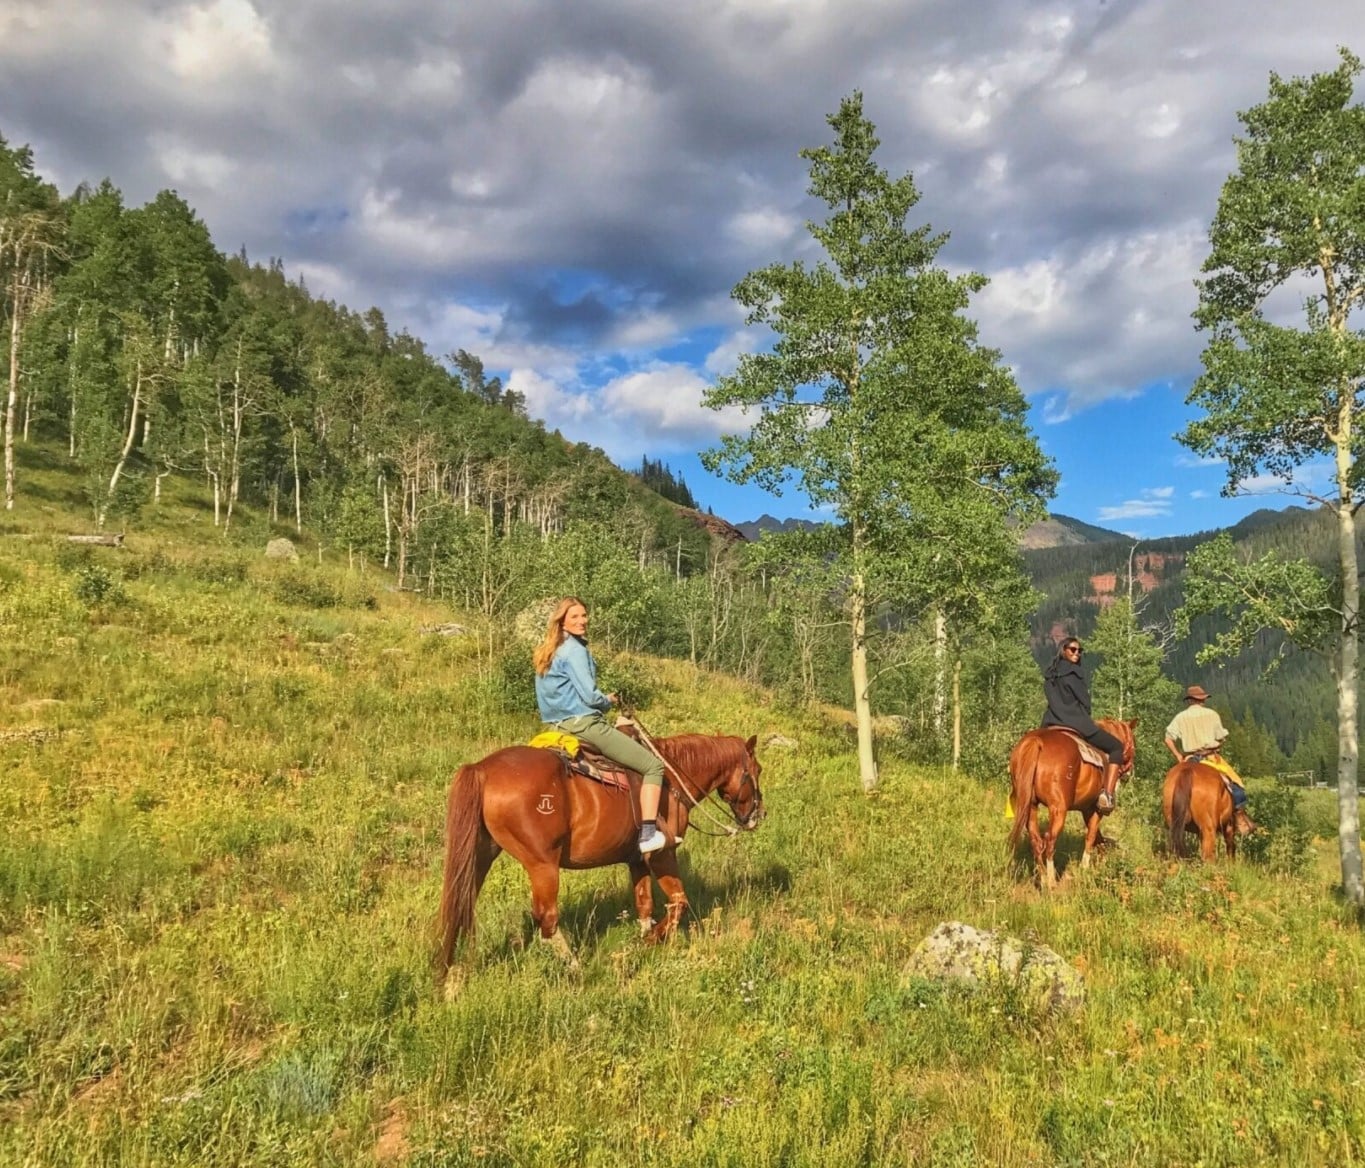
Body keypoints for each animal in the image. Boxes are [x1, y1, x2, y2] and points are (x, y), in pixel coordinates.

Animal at [437, 732, 764, 972]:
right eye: (757, 770)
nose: (758, 815)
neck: (671, 778)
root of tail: (482, 769)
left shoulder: (637, 861)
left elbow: (644, 905)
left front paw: (644, 939)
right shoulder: (662, 855)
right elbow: (678, 902)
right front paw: (651, 942)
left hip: (481, 855)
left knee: (462, 902)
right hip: (542, 865)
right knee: (547, 918)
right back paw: (575, 968)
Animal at [1006, 718, 1137, 889]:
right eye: (1133, 745)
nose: (1128, 774)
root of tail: (1036, 741)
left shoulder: (1086, 810)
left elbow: (1098, 837)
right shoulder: (1095, 810)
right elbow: (1091, 836)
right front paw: (1085, 868)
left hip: (1031, 807)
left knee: (1037, 842)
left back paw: (1043, 879)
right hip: (1058, 810)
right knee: (1050, 841)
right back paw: (1051, 882)